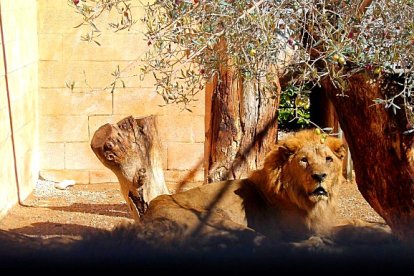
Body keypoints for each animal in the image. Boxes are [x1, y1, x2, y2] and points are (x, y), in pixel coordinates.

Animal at [141, 129, 348, 242]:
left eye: (328, 159)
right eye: (304, 160)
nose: (320, 176)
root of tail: (147, 218)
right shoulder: (299, 228)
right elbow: (346, 228)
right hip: (219, 220)